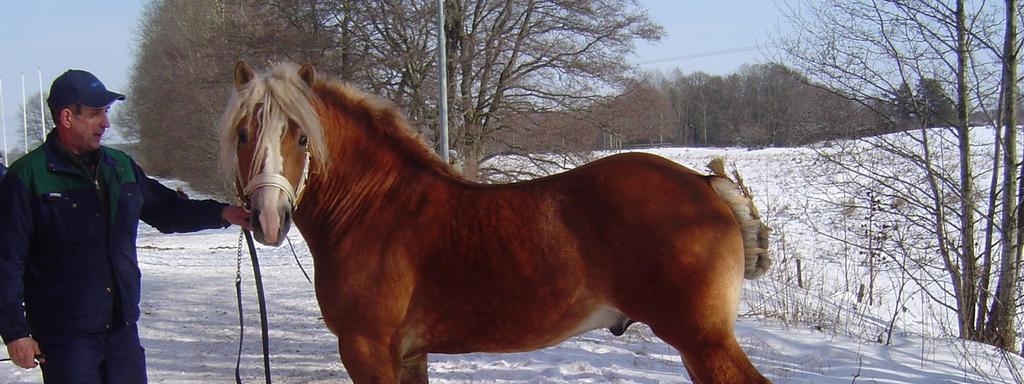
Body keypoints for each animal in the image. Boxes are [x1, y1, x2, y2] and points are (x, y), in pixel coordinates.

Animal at [220, 61, 770, 382]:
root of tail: (704, 184)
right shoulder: (407, 354)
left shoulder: (366, 349)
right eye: (244, 134)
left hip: (703, 341)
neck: (375, 207)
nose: (267, 218)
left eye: (301, 137)